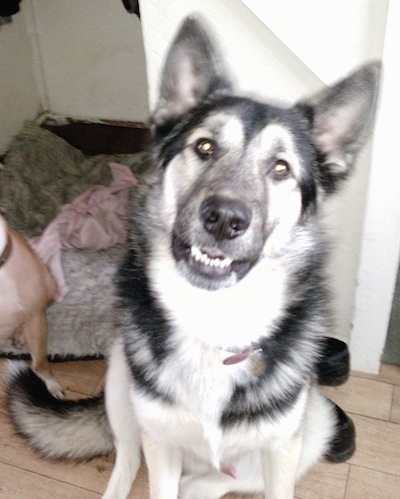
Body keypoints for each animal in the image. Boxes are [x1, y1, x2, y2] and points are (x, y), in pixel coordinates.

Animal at [7, 15, 380, 499]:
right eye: (204, 147)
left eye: (281, 168)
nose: (224, 219)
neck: (213, 319)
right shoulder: (159, 441)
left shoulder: (281, 449)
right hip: (122, 378)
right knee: (127, 459)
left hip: (312, 429)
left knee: (210, 482)